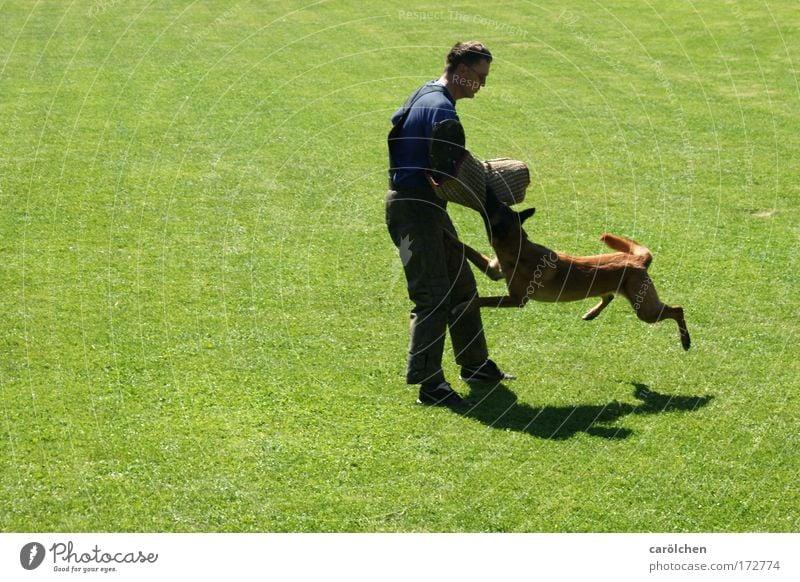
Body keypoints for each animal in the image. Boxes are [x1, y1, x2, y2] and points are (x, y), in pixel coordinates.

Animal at [454, 189, 692, 350]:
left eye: (494, 205)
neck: (517, 247)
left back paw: (686, 340)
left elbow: (480, 300)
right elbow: (466, 247)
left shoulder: (517, 299)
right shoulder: (493, 270)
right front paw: (450, 238)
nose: (487, 190)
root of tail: (637, 260)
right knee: (609, 297)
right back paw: (592, 313)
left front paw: (463, 306)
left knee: (678, 309)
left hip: (645, 310)